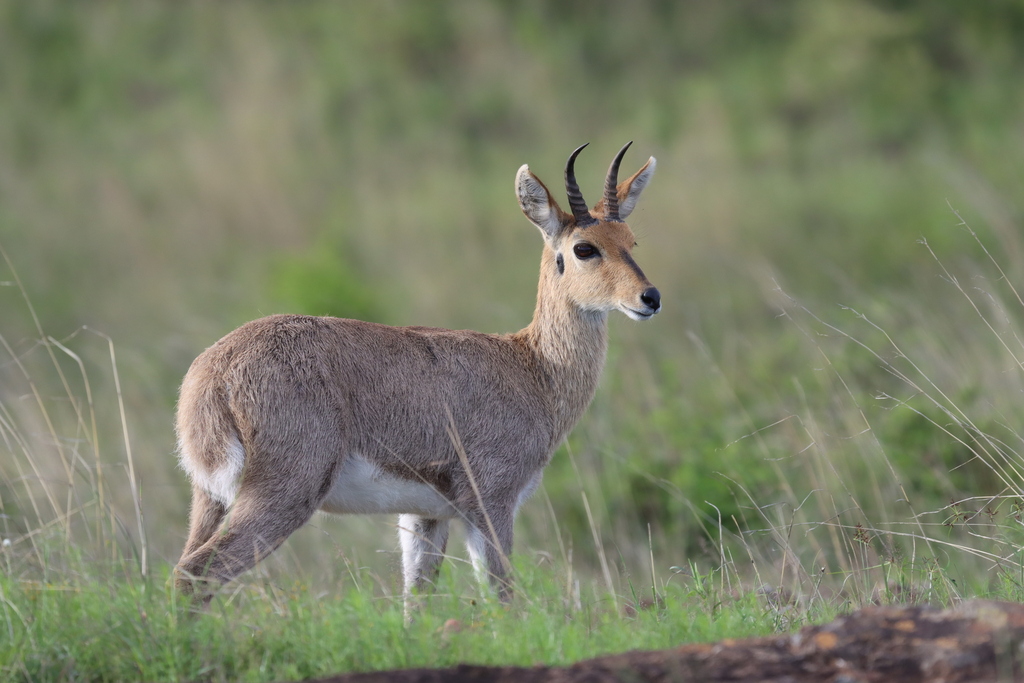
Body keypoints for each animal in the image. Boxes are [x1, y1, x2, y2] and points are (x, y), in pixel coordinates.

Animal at [173, 143, 659, 610]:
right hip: (284, 494)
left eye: (632, 241)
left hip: (209, 500)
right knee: (193, 575)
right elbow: (503, 599)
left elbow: (416, 603)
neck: (532, 368)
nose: (649, 297)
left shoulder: (426, 515)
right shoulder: (490, 504)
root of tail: (215, 371)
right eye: (584, 248)